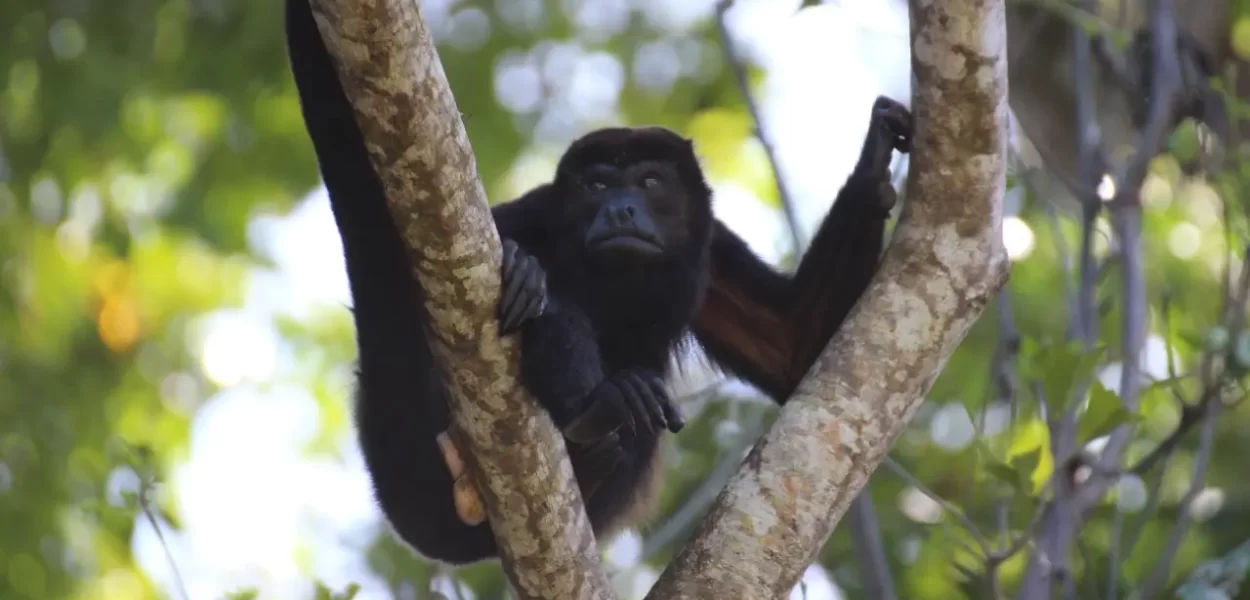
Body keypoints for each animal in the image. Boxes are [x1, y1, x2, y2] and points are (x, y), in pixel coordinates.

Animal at [283, 0, 910, 567]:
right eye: (597, 185)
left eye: (650, 182)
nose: (620, 210)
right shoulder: (531, 213)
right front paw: (528, 273)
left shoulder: (711, 250)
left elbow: (791, 346)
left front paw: (874, 164)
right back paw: (588, 402)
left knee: (644, 413)